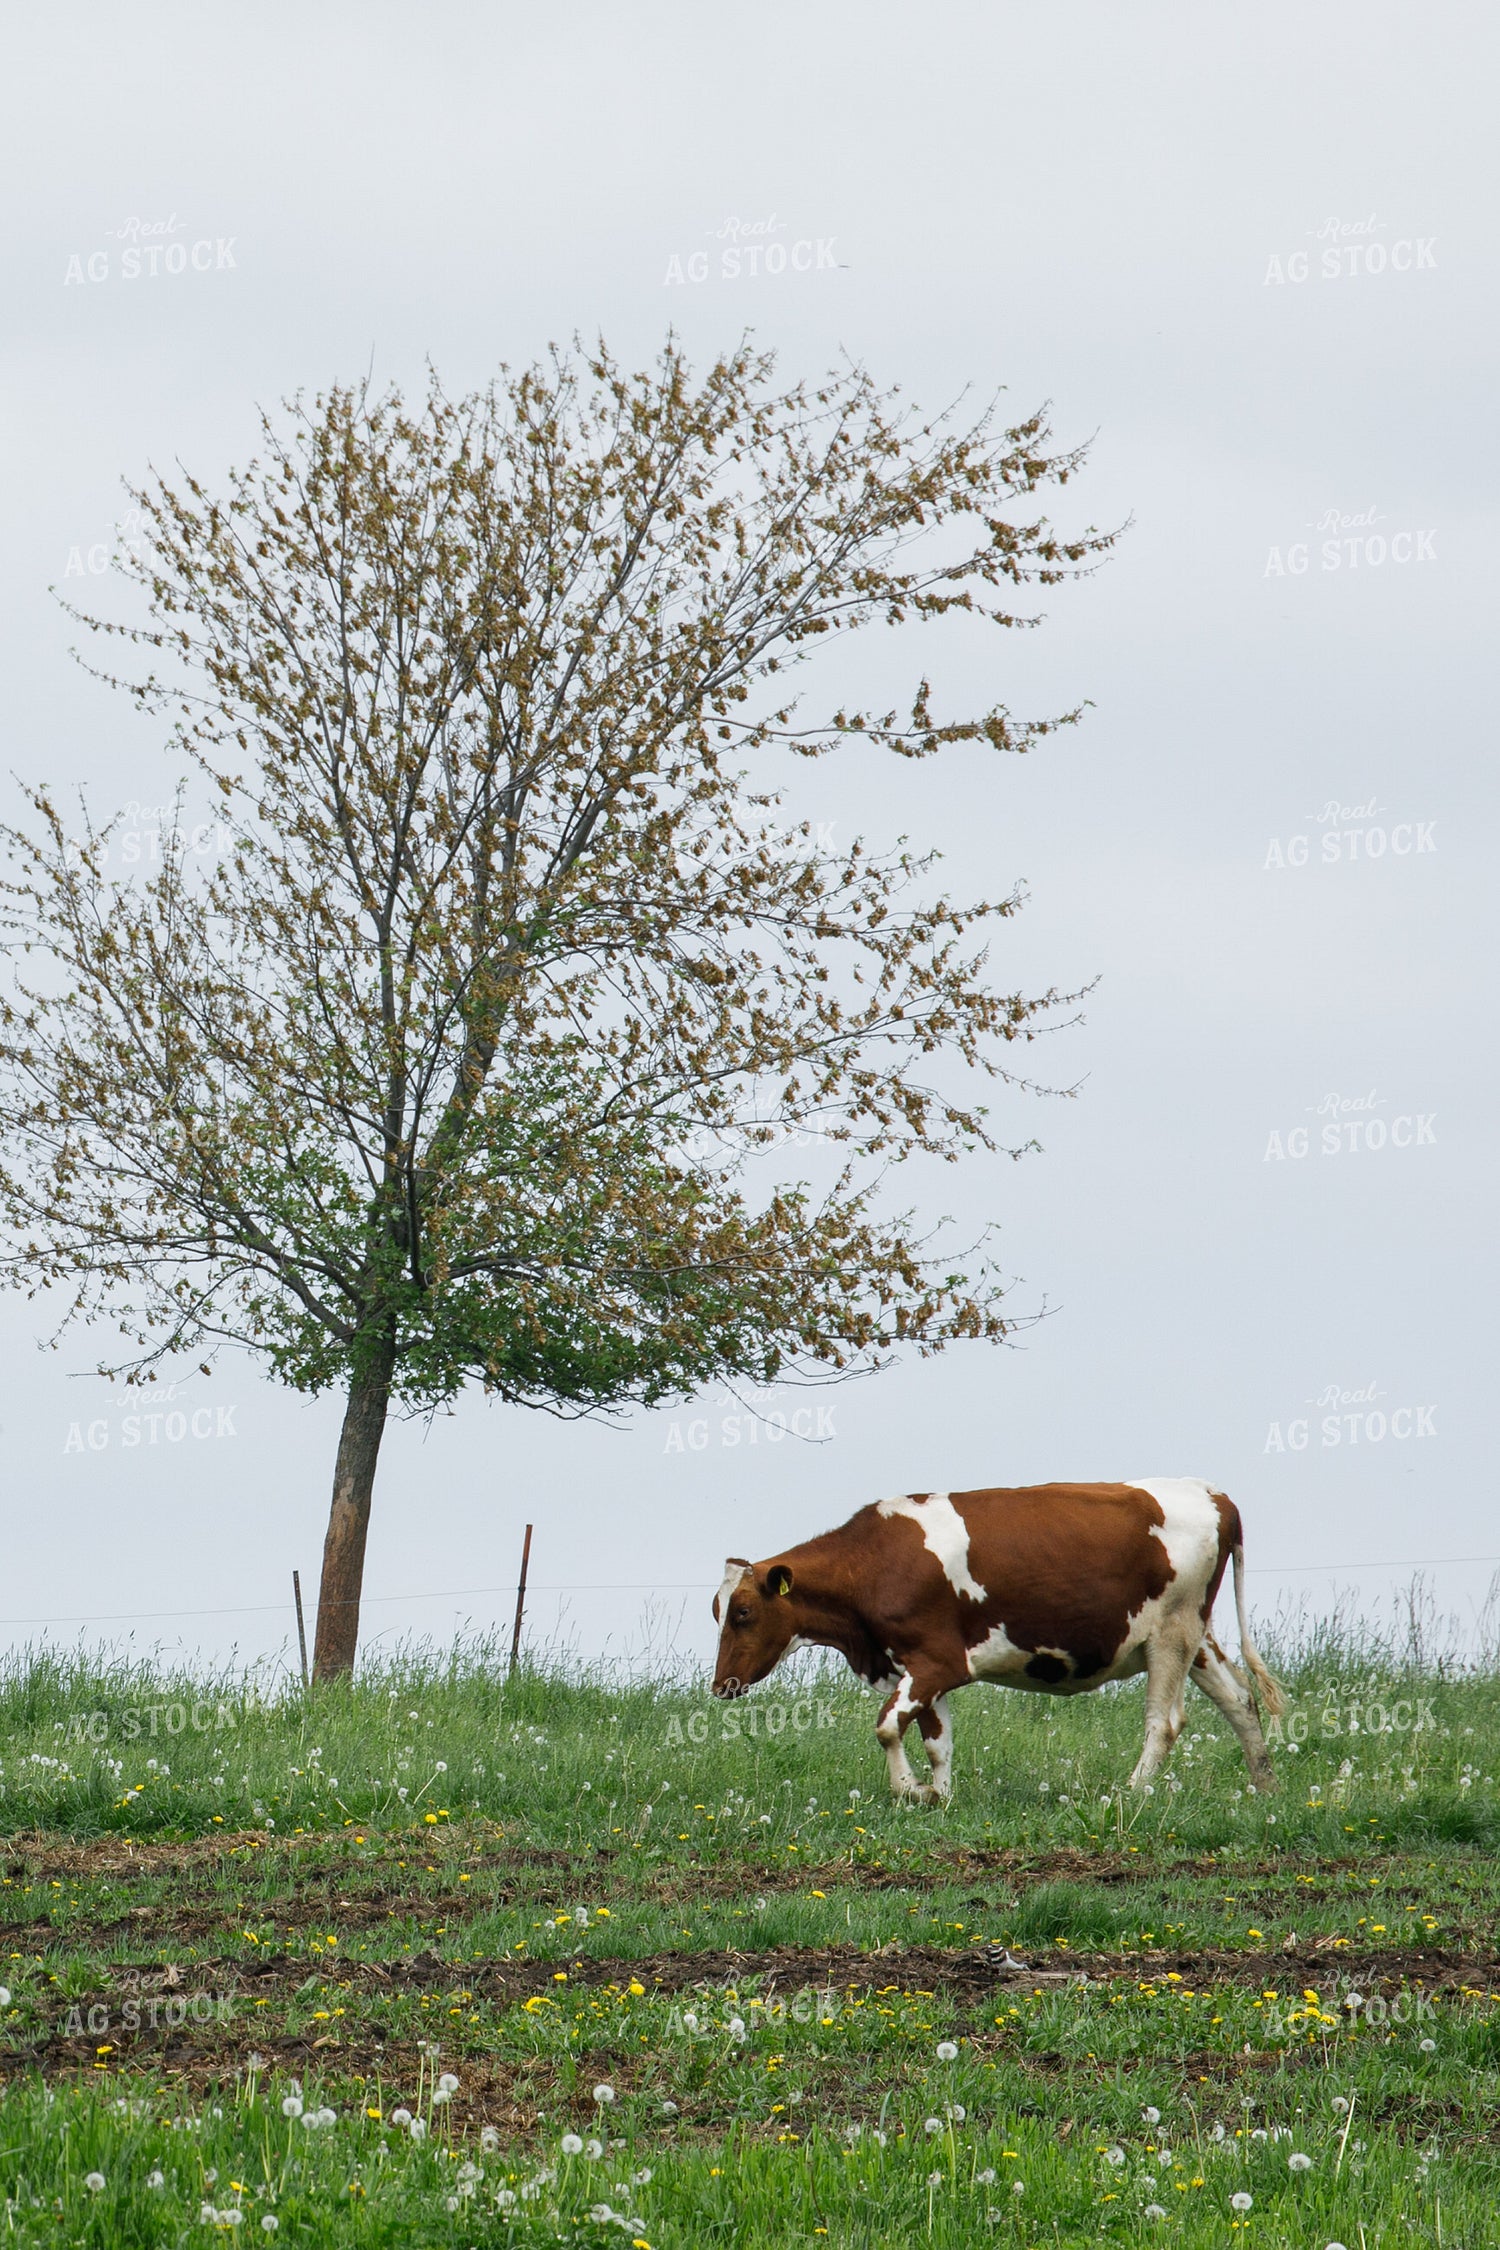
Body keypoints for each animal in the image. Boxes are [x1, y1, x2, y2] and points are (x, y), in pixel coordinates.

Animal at [711, 1480, 1285, 1803]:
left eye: (743, 1612)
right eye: (716, 1611)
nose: (721, 1686)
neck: (873, 1564)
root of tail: (1214, 1494)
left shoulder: (939, 1662)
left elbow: (887, 1727)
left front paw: (911, 1790)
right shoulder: (916, 1668)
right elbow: (937, 1740)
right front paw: (940, 1796)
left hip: (1173, 1630)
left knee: (1164, 1722)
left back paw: (1129, 1794)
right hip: (1195, 1636)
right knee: (1240, 1700)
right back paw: (1263, 1787)